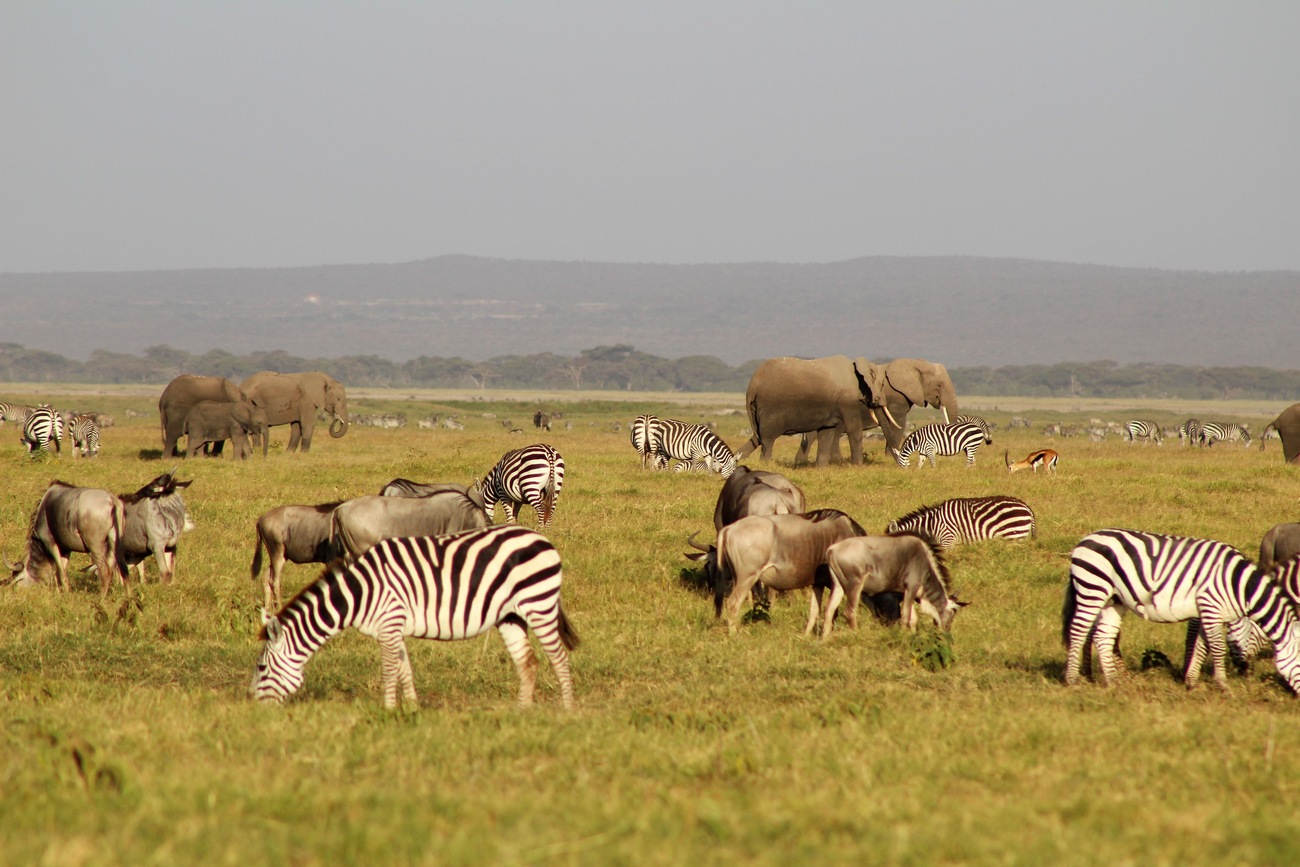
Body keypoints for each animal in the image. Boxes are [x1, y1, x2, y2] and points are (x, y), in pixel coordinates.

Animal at [250, 525, 577, 707]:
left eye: (262, 668)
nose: (255, 711)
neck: (361, 591)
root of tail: (540, 537)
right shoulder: (393, 627)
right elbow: (404, 670)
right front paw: (411, 711)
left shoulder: (389, 623)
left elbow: (388, 671)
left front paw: (388, 710)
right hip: (511, 615)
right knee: (528, 662)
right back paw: (523, 712)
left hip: (539, 604)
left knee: (559, 658)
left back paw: (567, 711)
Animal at [738, 356, 899, 467]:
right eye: (883, 384)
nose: (901, 464)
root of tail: (751, 387)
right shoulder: (847, 400)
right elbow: (854, 428)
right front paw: (858, 467)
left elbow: (827, 431)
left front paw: (821, 468)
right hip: (771, 406)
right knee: (767, 438)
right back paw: (765, 465)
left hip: (758, 408)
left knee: (757, 437)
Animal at [821, 530, 967, 636]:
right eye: (953, 612)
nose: (947, 632)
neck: (925, 564)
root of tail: (832, 549)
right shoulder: (911, 587)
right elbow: (905, 615)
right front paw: (903, 636)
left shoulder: (906, 592)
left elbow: (913, 619)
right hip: (855, 586)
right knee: (849, 612)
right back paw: (857, 634)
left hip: (838, 586)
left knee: (829, 609)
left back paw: (825, 639)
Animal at [1060, 525, 1300, 696]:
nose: (1245, 670)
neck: (1239, 586)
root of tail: (1087, 538)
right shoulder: (1210, 605)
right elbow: (1216, 647)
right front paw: (1223, 685)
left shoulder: (1207, 611)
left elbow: (1202, 646)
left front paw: (1191, 682)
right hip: (1093, 588)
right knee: (1079, 631)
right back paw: (1073, 680)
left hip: (1114, 599)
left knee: (1103, 636)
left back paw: (1113, 681)